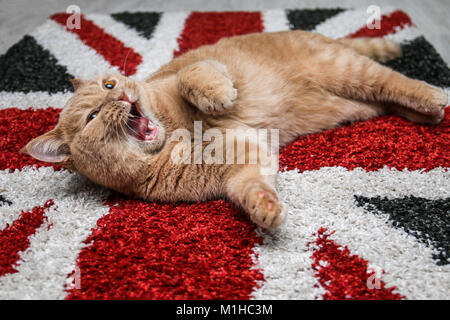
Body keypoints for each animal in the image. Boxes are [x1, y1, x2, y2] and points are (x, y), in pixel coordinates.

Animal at [23, 31, 446, 229]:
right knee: (387, 97)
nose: (120, 96)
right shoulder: (241, 168)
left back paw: (432, 95)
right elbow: (252, 189)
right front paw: (265, 210)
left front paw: (219, 95)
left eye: (109, 85)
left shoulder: (200, 68)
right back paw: (426, 115)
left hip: (347, 70)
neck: (177, 133)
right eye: (93, 116)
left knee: (395, 80)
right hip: (356, 100)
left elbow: (193, 77)